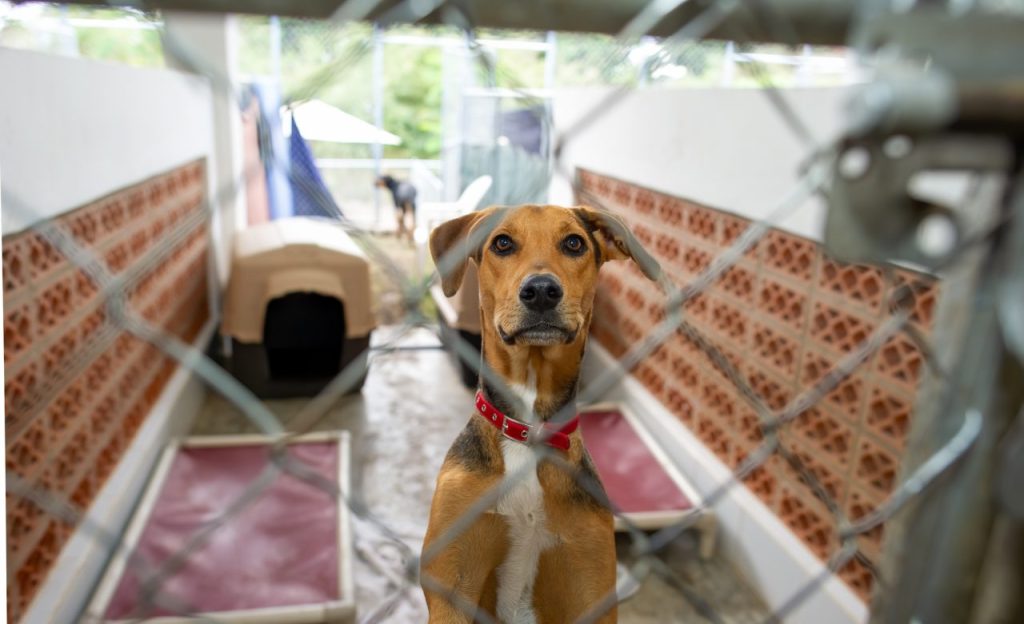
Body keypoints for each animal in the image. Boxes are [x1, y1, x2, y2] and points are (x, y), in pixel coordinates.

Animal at [419, 205, 659, 622]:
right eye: (502, 243)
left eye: (574, 243)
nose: (543, 291)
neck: (528, 430)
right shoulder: (452, 584)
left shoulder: (589, 587)